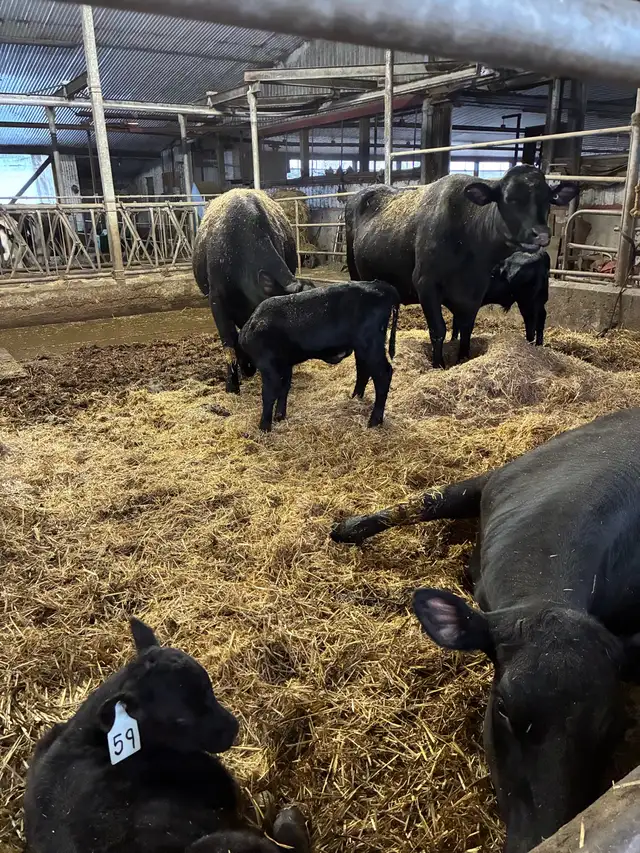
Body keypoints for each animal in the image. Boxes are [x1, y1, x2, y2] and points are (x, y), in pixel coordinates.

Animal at [238, 280, 399, 432]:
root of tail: (379, 284)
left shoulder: (268, 364)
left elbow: (269, 393)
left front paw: (264, 427)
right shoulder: (286, 363)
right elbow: (284, 388)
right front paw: (279, 416)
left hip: (370, 344)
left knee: (383, 375)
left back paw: (374, 421)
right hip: (362, 347)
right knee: (363, 370)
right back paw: (355, 399)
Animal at [331, 408, 640, 853]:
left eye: (613, 726)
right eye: (505, 708)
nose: (543, 838)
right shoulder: (496, 477)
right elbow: (429, 499)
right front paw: (345, 528)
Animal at [344, 167, 577, 368]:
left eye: (548, 199)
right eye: (510, 198)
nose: (542, 234)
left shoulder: (474, 292)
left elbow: (466, 329)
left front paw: (463, 358)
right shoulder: (426, 285)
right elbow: (438, 329)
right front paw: (438, 364)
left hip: (533, 297)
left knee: (535, 319)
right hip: (356, 274)